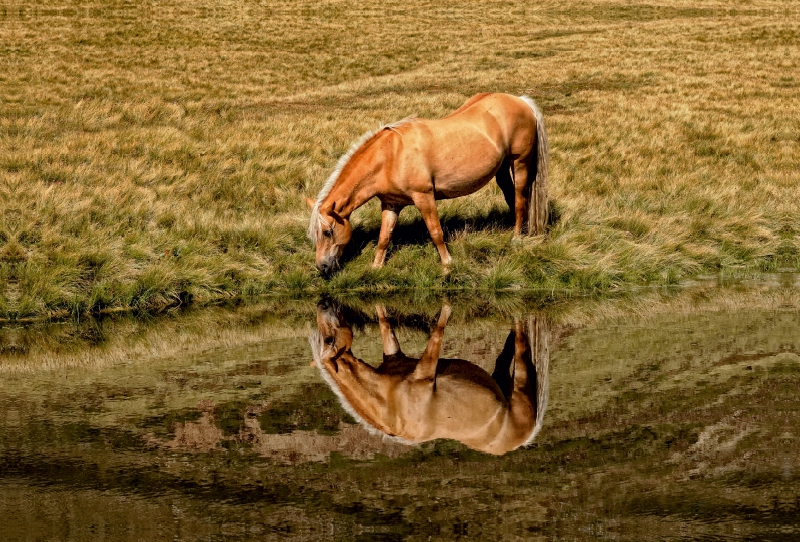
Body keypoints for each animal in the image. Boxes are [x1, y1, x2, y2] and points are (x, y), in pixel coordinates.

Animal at [306, 93, 552, 276]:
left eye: (327, 232)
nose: (322, 267)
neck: (390, 155)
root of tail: (521, 101)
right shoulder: (391, 204)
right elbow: (384, 237)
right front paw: (376, 268)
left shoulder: (424, 197)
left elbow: (436, 232)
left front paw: (447, 265)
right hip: (501, 170)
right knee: (511, 198)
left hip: (519, 162)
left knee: (520, 200)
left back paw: (516, 238)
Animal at [308, 300, 552, 456]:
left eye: (328, 339)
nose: (323, 304)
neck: (390, 406)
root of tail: (525, 437)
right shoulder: (402, 357)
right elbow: (389, 324)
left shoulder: (421, 368)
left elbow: (434, 330)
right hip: (505, 383)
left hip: (519, 388)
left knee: (520, 347)